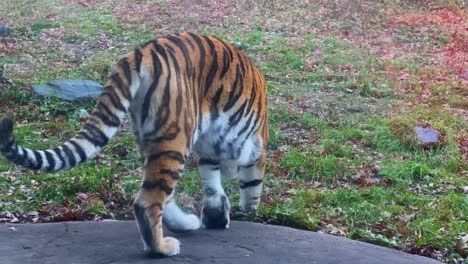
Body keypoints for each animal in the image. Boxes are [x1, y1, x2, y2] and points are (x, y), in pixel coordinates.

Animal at [0, 32, 266, 256]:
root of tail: (139, 53)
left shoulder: (211, 151)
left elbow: (211, 184)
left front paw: (216, 215)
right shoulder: (254, 146)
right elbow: (252, 182)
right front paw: (248, 208)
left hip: (151, 138)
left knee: (161, 194)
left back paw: (185, 225)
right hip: (175, 137)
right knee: (148, 202)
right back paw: (162, 247)